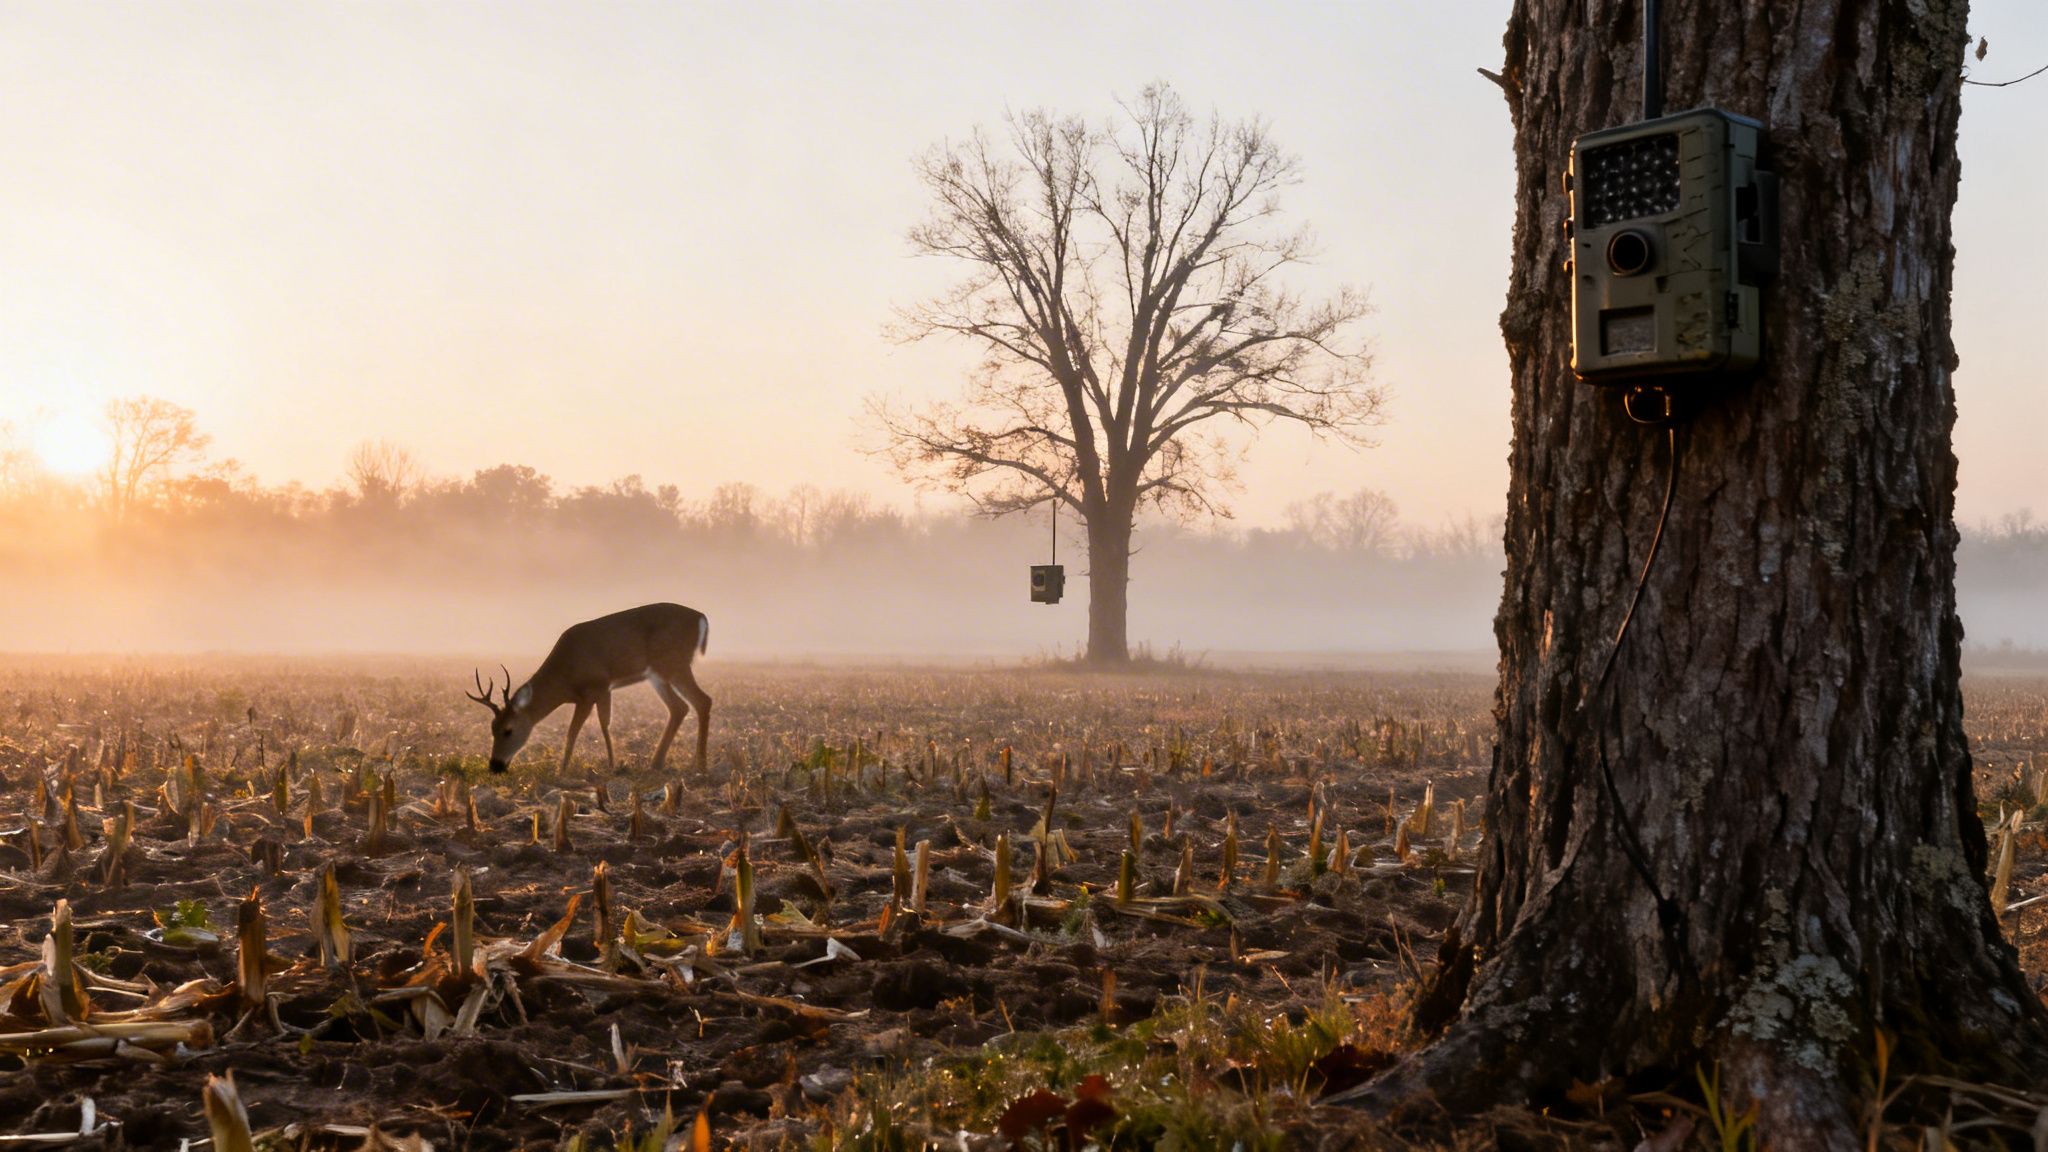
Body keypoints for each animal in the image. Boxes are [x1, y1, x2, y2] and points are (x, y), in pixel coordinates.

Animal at [467, 603, 711, 776]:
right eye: (492, 728)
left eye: (508, 730)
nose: (495, 766)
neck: (565, 676)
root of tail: (701, 617)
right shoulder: (599, 691)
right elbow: (602, 724)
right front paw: (612, 764)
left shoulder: (594, 689)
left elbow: (578, 730)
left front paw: (565, 770)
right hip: (658, 675)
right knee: (679, 707)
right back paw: (657, 764)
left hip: (674, 665)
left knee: (702, 700)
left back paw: (700, 766)